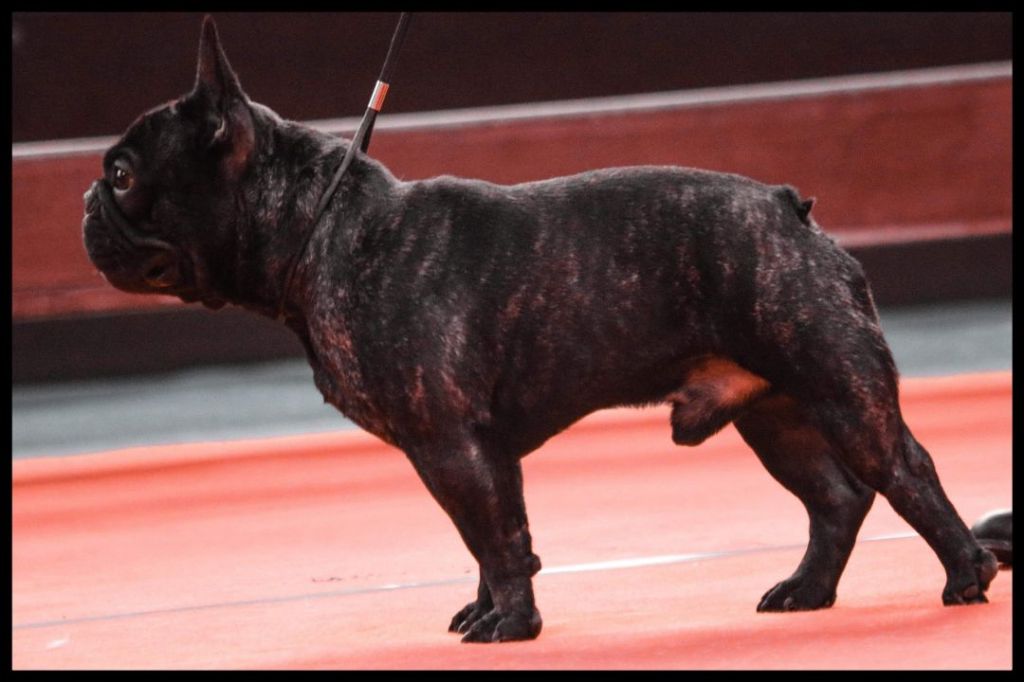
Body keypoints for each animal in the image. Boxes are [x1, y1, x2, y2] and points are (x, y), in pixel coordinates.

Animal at [82, 18, 998, 642]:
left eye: (122, 174)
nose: (85, 201)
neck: (323, 228)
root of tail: (788, 210)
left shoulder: (452, 445)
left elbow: (496, 539)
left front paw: (511, 627)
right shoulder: (463, 455)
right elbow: (488, 540)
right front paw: (488, 614)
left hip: (841, 388)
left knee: (906, 471)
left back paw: (967, 574)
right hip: (774, 416)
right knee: (836, 498)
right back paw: (806, 591)